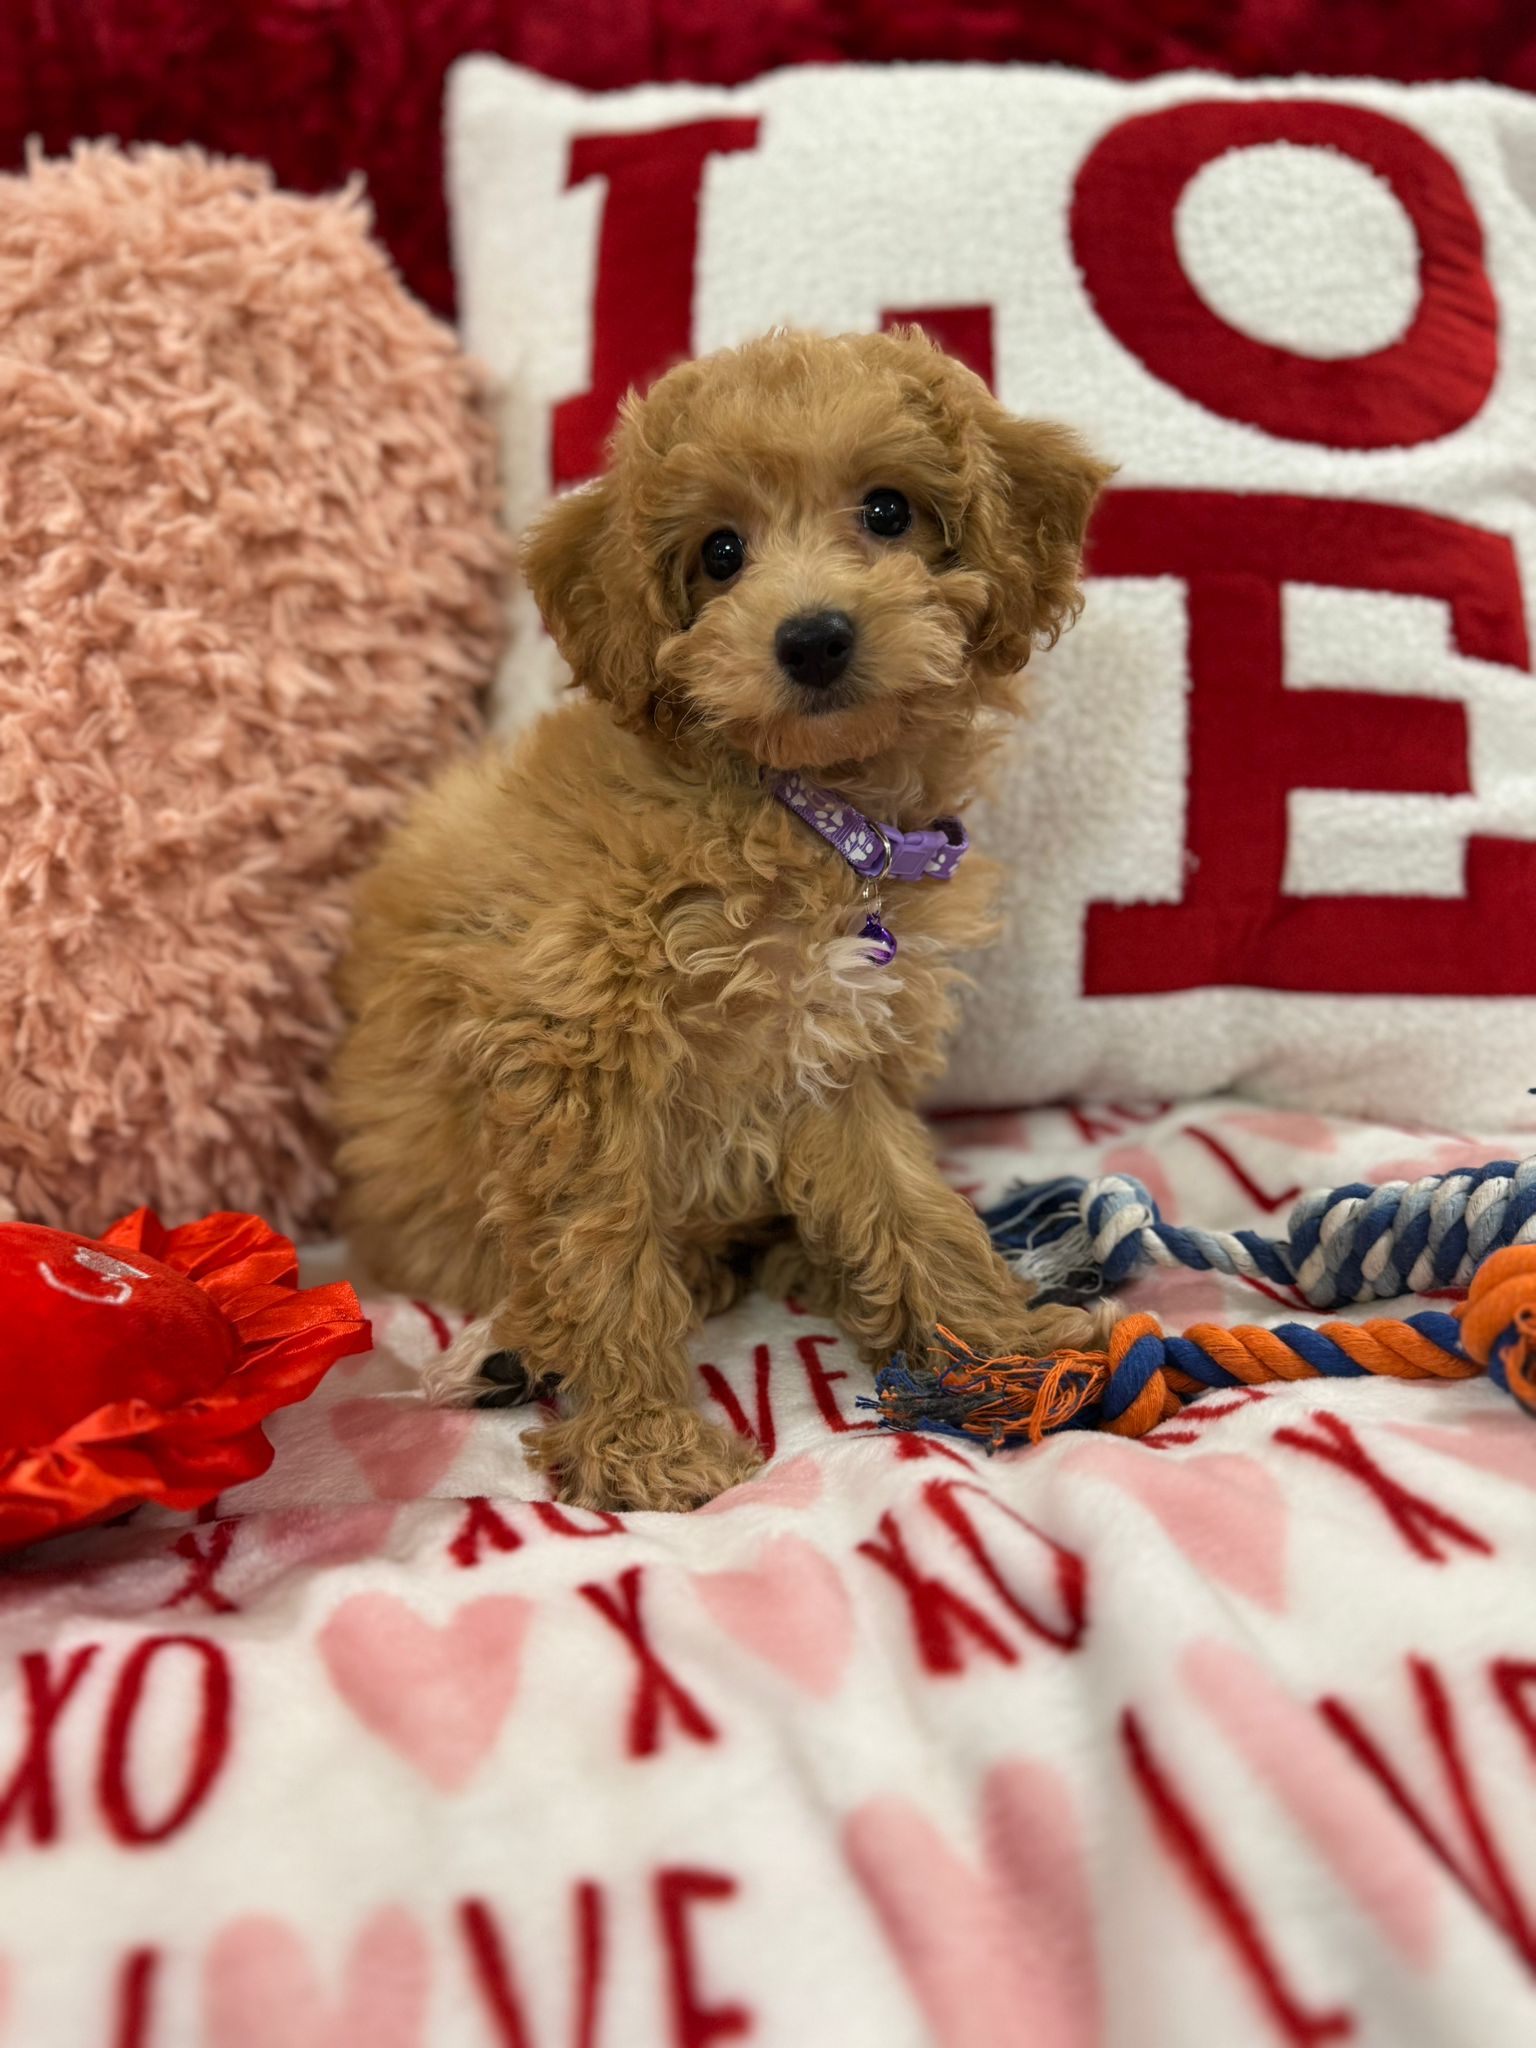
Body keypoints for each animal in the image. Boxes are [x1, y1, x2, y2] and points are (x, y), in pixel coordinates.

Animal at [331, 319, 1114, 1507]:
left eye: (888, 511)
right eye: (721, 553)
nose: (814, 638)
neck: (799, 812)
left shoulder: (834, 1055)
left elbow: (909, 1207)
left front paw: (998, 1352)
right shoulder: (571, 1049)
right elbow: (602, 1247)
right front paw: (642, 1440)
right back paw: (517, 1348)